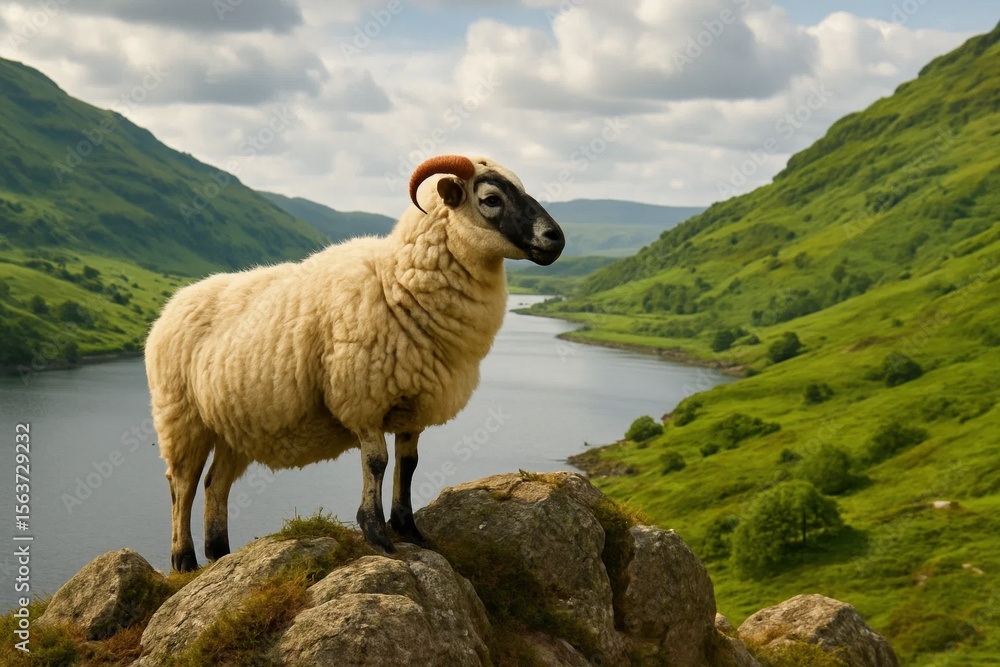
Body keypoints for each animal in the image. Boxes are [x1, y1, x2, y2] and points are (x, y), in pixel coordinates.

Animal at [145, 154, 565, 571]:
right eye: (491, 199)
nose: (556, 239)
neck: (396, 280)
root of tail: (172, 304)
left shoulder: (413, 404)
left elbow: (408, 463)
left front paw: (408, 528)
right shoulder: (361, 398)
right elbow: (378, 462)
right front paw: (376, 532)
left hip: (234, 425)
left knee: (215, 483)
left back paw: (220, 553)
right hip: (181, 416)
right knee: (181, 485)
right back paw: (184, 559)